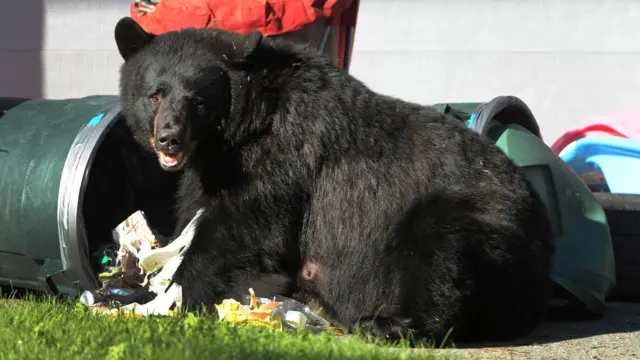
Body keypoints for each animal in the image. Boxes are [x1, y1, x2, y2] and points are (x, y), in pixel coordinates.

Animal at [114, 16, 556, 342]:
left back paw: (388, 324)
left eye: (198, 101)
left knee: (441, 261)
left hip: (477, 221)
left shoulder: (284, 157)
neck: (242, 128)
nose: (169, 137)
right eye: (155, 94)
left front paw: (173, 296)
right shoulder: (211, 170)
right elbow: (192, 213)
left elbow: (240, 228)